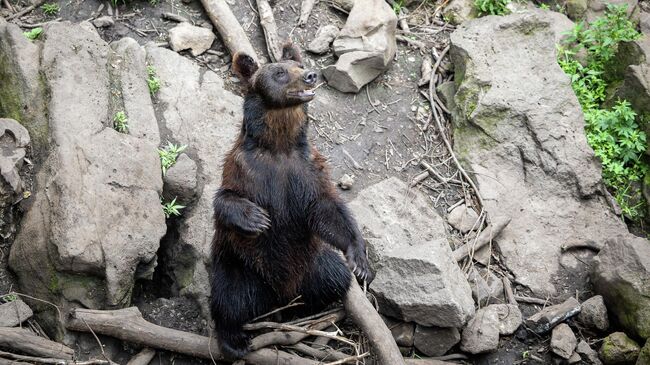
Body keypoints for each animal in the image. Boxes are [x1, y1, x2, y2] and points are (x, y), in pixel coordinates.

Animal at [210, 43, 372, 358]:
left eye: (300, 64)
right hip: (241, 266)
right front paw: (257, 218)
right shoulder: (246, 170)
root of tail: (277, 297)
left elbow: (326, 209)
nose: (310, 75)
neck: (278, 147)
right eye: (279, 72)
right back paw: (234, 341)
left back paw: (310, 310)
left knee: (334, 278)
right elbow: (225, 199)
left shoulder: (306, 171)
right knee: (229, 298)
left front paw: (360, 259)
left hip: (312, 264)